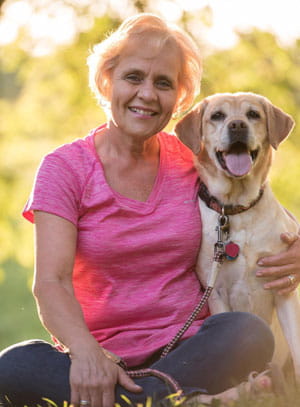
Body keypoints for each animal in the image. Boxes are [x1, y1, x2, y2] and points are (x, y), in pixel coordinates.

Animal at [176, 92, 300, 382]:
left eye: (253, 114)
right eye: (217, 116)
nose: (237, 125)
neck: (236, 210)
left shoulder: (284, 290)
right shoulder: (216, 293)